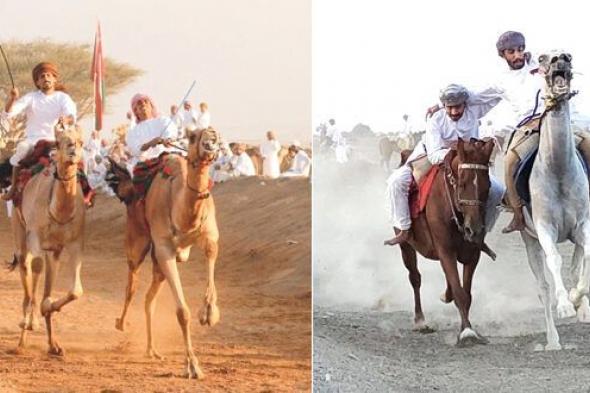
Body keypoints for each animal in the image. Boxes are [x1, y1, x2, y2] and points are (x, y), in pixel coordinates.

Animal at [13, 123, 86, 356]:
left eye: (80, 141)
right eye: (61, 141)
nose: (72, 151)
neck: (59, 212)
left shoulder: (73, 243)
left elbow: (75, 291)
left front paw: (48, 307)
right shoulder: (35, 234)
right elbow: (36, 267)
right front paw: (30, 321)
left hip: (52, 250)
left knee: (45, 272)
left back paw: (53, 345)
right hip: (20, 228)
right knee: (25, 264)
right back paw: (22, 336)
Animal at [110, 127, 221, 378]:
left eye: (216, 135)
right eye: (193, 136)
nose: (211, 139)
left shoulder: (210, 235)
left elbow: (211, 252)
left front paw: (209, 313)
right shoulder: (164, 249)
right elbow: (182, 312)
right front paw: (193, 366)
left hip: (157, 265)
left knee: (149, 298)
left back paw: (152, 350)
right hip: (138, 240)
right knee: (132, 283)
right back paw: (121, 323)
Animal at [390, 139, 498, 346]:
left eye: (487, 185)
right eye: (462, 184)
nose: (474, 229)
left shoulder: (473, 253)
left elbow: (466, 293)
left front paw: (466, 327)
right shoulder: (445, 250)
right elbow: (459, 292)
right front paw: (467, 332)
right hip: (405, 245)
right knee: (415, 277)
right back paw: (420, 320)